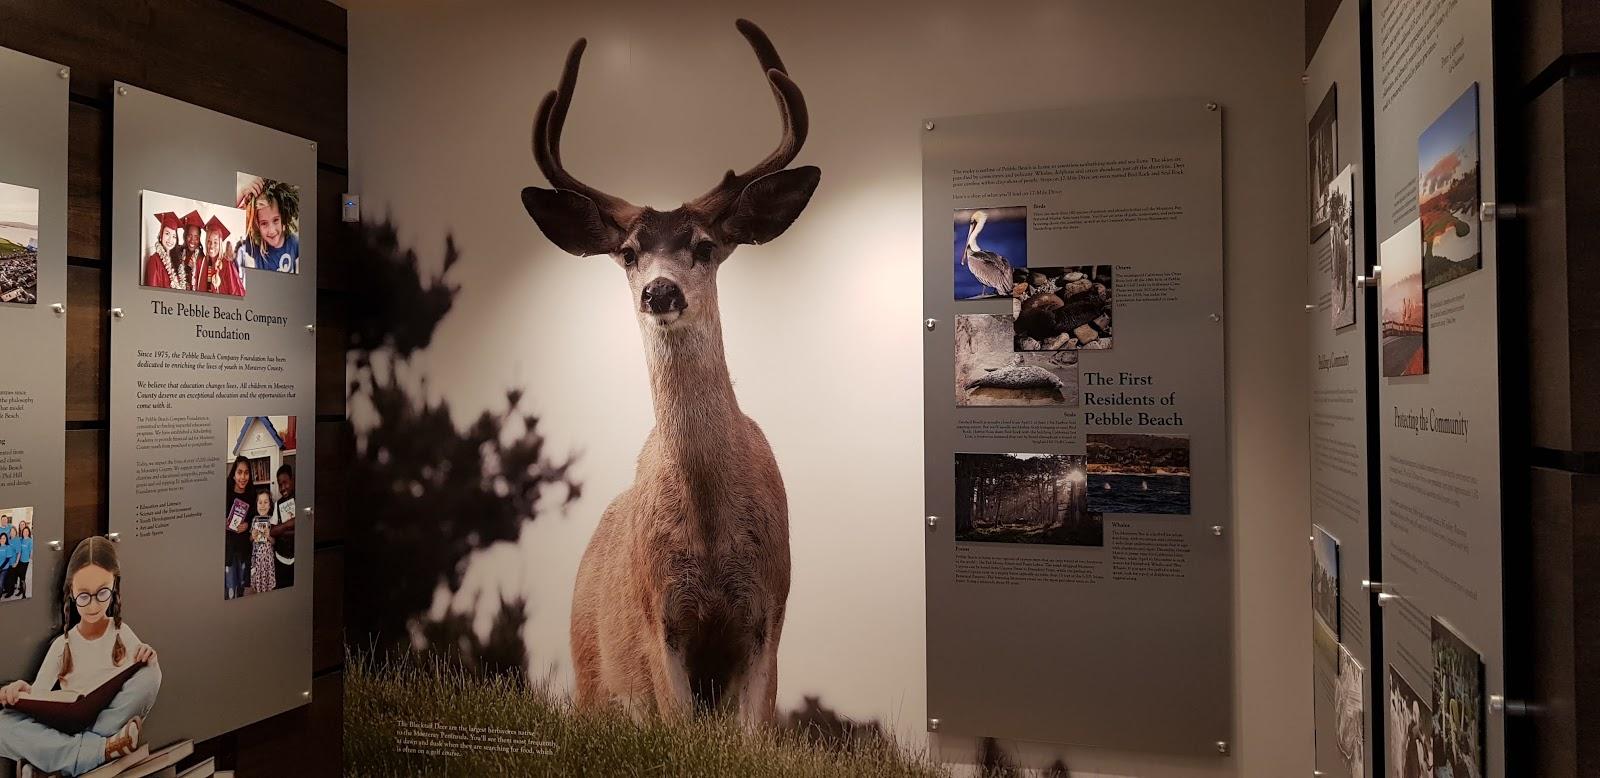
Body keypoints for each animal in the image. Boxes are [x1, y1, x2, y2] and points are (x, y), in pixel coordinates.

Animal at [518, 18, 819, 726]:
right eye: (629, 253)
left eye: (704, 246)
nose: (660, 291)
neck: (709, 532)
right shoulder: (662, 620)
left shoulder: (768, 612)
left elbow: (753, 733)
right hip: (591, 681)